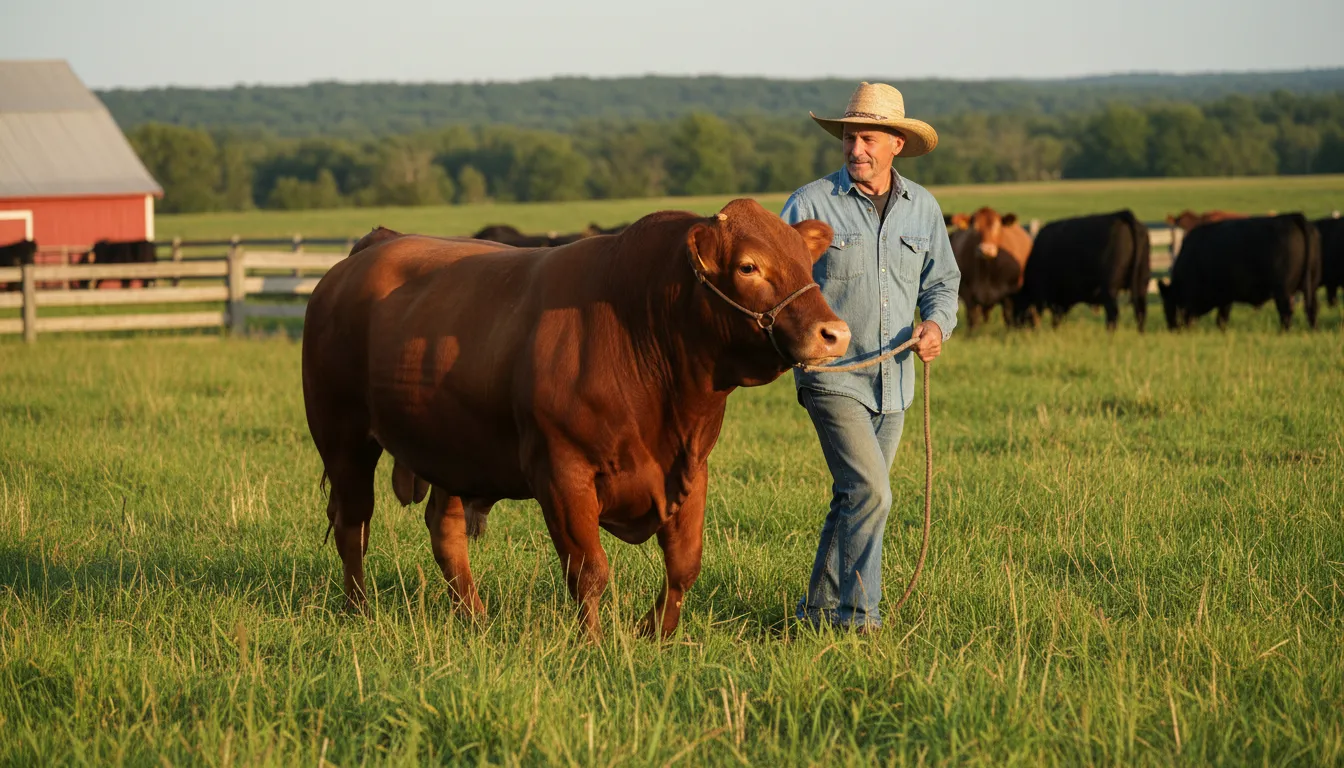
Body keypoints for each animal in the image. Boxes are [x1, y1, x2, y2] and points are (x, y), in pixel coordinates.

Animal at [302, 199, 849, 639]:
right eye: (748, 266)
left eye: (807, 262)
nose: (835, 333)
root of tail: (373, 246)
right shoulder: (562, 472)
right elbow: (589, 570)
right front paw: (594, 644)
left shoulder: (692, 469)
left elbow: (684, 565)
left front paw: (656, 633)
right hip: (343, 437)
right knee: (353, 525)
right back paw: (359, 612)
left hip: (452, 449)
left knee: (445, 529)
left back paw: (475, 619)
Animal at [1014, 210, 1150, 331]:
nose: (1015, 328)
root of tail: (1121, 214)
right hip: (1141, 285)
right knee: (1140, 313)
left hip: (1110, 290)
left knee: (1113, 315)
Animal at [1157, 214, 1320, 331]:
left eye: (1167, 305)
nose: (1172, 328)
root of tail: (1293, 217)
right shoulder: (1226, 297)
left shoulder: (1222, 296)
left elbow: (1221, 318)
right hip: (1311, 287)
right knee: (1312, 309)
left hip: (1283, 292)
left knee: (1286, 313)